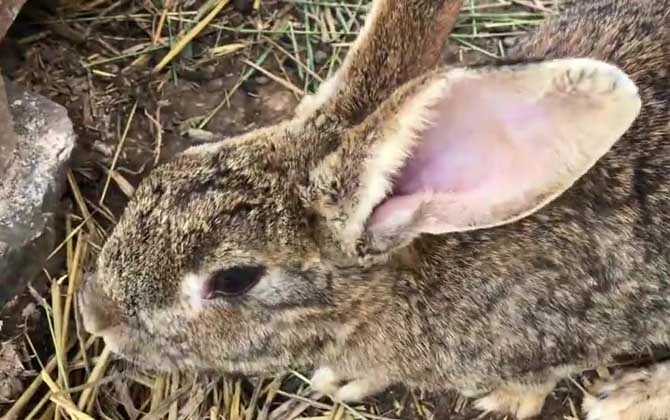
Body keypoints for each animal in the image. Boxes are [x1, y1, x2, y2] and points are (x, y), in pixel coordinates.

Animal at [81, 0, 670, 416]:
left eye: (234, 279)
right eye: (165, 173)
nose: (95, 314)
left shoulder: (558, 342)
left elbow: (535, 384)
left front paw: (506, 400)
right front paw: (343, 378)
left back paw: (627, 397)